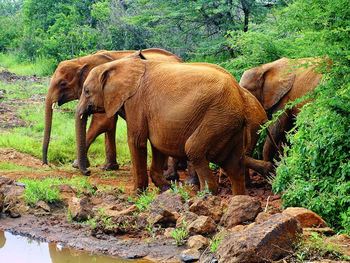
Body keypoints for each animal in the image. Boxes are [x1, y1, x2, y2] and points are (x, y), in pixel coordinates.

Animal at [42, 48, 182, 171]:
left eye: (62, 84)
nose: (46, 164)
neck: (82, 61)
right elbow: (109, 125)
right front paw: (108, 167)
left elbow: (102, 123)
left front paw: (76, 165)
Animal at [76, 51, 274, 196]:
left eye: (86, 91)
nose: (88, 172)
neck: (117, 65)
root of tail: (241, 96)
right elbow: (158, 144)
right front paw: (167, 189)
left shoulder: (136, 102)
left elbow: (137, 141)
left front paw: (136, 194)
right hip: (230, 124)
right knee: (234, 164)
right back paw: (239, 198)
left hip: (218, 117)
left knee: (194, 149)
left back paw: (205, 195)